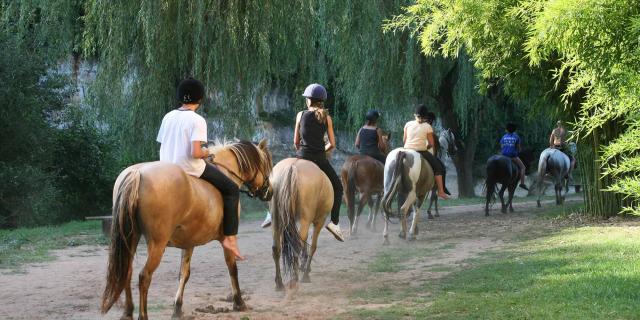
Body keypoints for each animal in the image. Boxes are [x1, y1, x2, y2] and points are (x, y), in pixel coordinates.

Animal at [100, 140, 272, 320]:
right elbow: (232, 267)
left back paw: (128, 312)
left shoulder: (189, 242)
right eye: (267, 163)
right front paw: (239, 302)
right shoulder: (226, 238)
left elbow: (184, 274)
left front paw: (177, 308)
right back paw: (143, 315)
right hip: (157, 244)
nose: (269, 192)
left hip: (131, 237)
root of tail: (137, 172)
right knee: (144, 276)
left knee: (127, 272)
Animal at [268, 158, 332, 290]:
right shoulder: (319, 221)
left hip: (276, 219)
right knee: (297, 245)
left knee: (276, 248)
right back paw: (296, 278)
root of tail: (292, 166)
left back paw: (279, 283)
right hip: (304, 219)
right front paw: (306, 273)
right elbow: (312, 246)